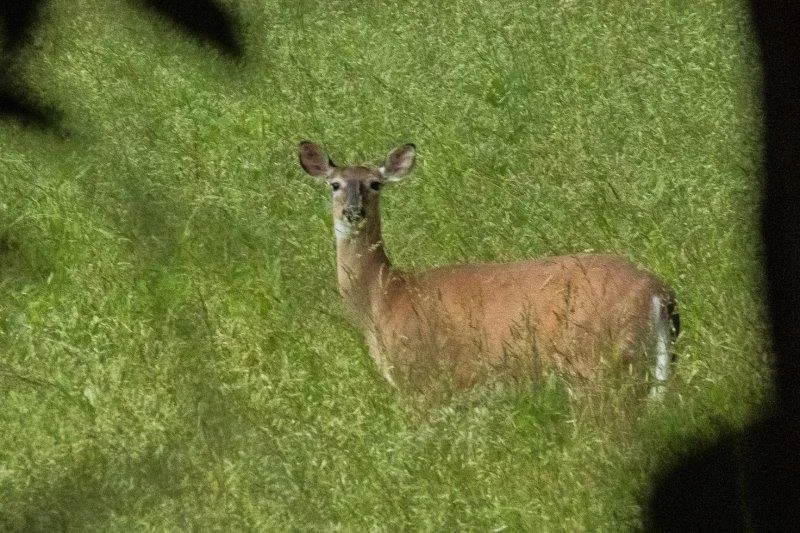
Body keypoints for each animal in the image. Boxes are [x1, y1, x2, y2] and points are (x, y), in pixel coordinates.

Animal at [298, 140, 679, 395]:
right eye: (335, 184)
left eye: (374, 184)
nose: (353, 212)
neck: (384, 297)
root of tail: (659, 292)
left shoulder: (423, 381)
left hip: (595, 361)